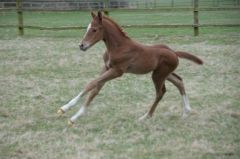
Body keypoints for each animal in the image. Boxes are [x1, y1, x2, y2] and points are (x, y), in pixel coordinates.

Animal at [57, 11, 202, 125]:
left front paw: (66, 111)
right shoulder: (106, 68)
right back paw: (186, 111)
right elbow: (95, 89)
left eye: (94, 29)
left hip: (158, 75)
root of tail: (174, 52)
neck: (118, 47)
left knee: (160, 93)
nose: (81, 46)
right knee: (179, 81)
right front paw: (72, 115)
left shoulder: (117, 71)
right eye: (87, 28)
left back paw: (145, 117)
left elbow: (91, 84)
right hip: (164, 73)